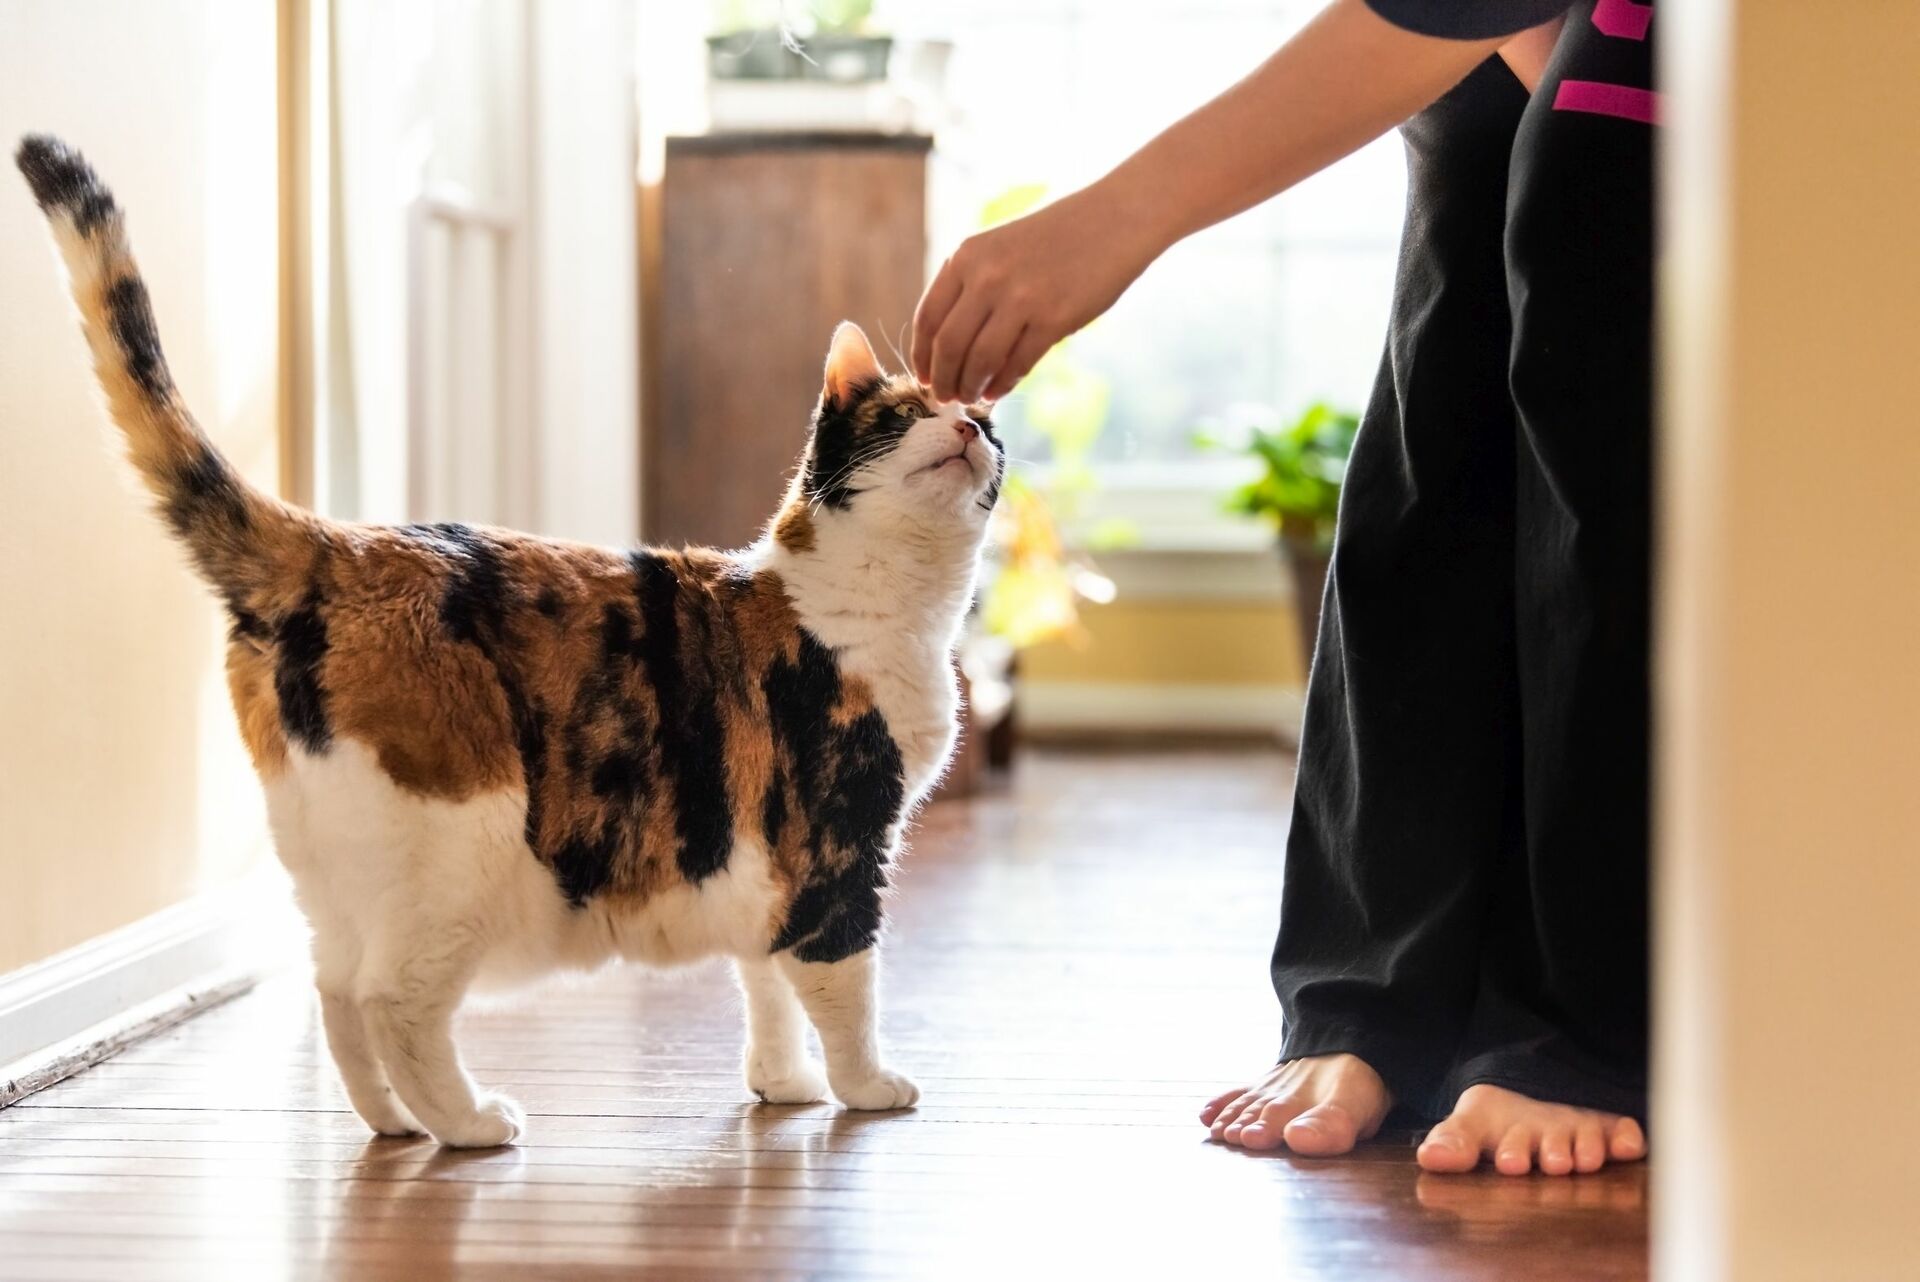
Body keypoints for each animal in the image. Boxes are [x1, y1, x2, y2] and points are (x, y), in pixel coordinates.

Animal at [18, 135, 1006, 1143]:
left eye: (991, 427)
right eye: (904, 414)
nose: (971, 424)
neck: (887, 602)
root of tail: (341, 546)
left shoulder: (769, 863)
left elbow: (764, 979)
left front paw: (784, 1084)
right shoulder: (839, 842)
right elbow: (843, 982)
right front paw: (867, 1088)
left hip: (336, 860)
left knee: (335, 992)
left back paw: (393, 1122)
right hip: (461, 839)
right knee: (393, 999)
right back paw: (471, 1125)